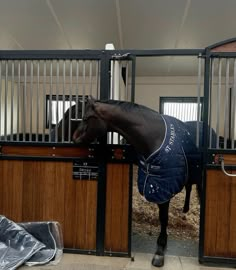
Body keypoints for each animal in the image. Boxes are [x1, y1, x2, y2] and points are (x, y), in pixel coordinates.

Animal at [72, 96, 203, 266]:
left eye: (85, 118)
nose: (74, 138)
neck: (155, 136)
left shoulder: (164, 187)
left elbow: (163, 218)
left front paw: (160, 250)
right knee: (188, 187)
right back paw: (185, 209)